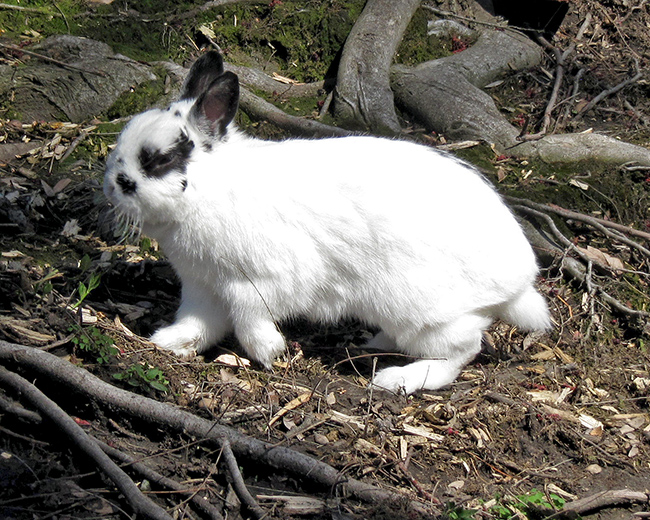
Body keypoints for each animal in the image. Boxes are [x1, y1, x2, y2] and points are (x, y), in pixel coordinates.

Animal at [104, 51, 548, 394]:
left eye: (160, 159)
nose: (113, 185)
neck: (211, 189)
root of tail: (521, 279)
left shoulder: (261, 282)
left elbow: (249, 319)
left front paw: (269, 352)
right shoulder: (203, 286)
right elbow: (199, 323)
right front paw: (169, 342)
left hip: (425, 313)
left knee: (462, 351)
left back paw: (397, 379)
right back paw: (372, 343)